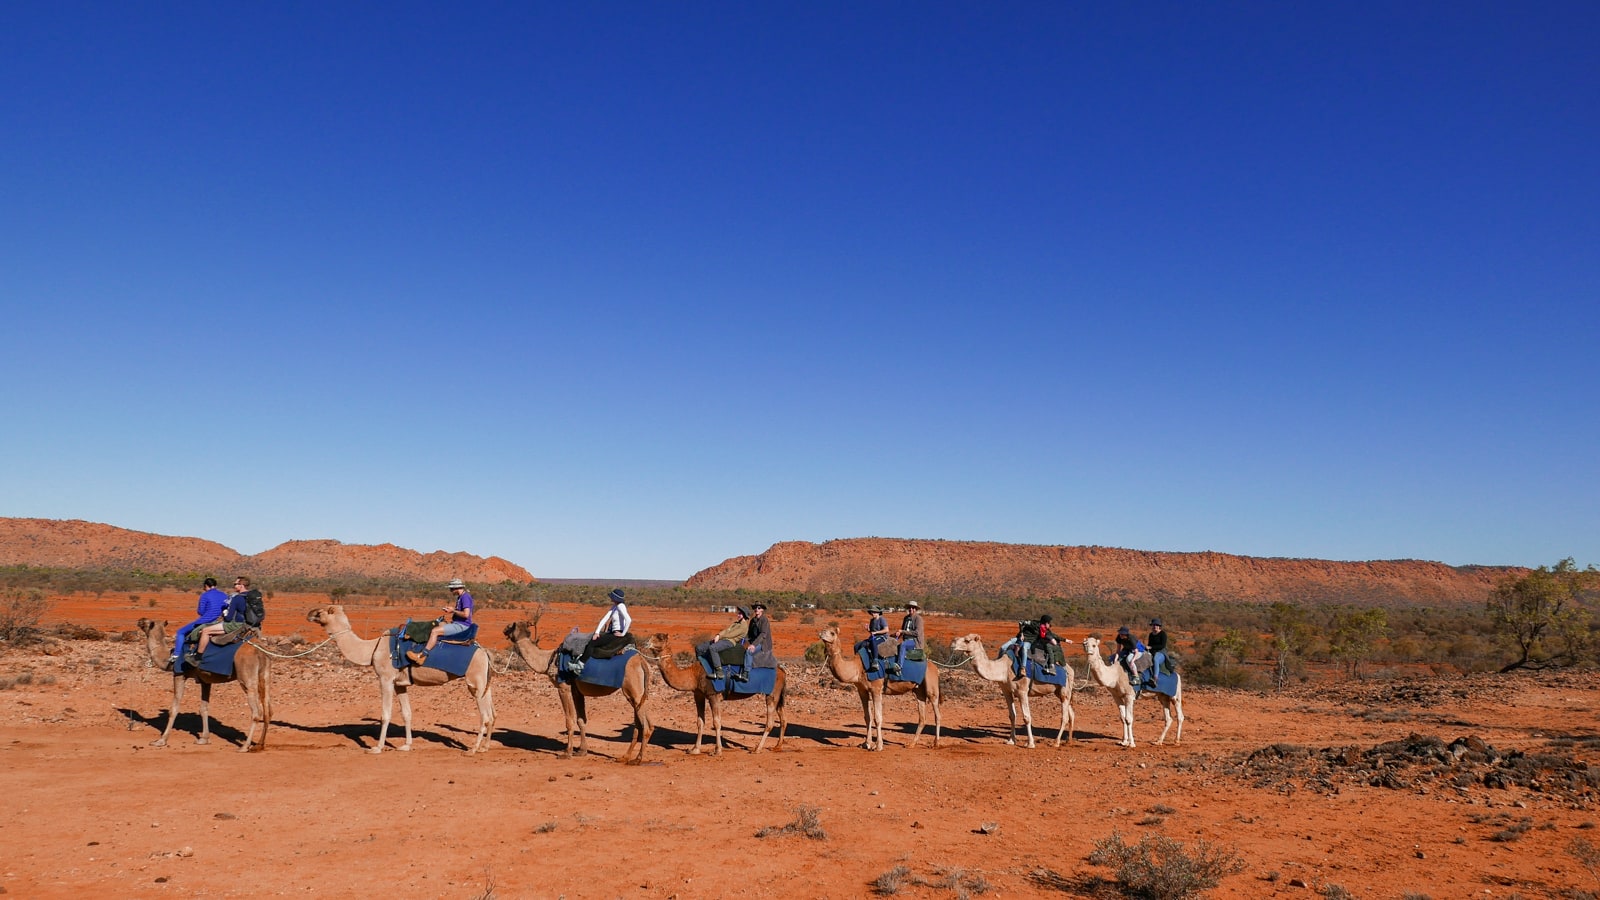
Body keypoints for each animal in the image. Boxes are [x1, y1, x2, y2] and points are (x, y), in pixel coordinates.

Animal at [136, 614, 270, 749]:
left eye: (148, 623)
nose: (140, 620)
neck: (168, 659)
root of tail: (260, 651)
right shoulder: (205, 680)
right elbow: (204, 708)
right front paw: (204, 739)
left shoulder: (179, 674)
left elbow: (174, 709)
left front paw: (161, 740)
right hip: (264, 675)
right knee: (268, 710)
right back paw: (260, 745)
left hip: (246, 675)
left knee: (256, 711)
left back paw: (245, 747)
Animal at [304, 602, 492, 749]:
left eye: (320, 612)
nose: (309, 613)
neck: (372, 649)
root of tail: (485, 652)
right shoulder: (400, 684)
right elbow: (406, 713)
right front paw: (406, 745)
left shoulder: (385, 679)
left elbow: (385, 714)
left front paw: (377, 747)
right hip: (483, 681)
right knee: (489, 713)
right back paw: (484, 747)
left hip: (475, 680)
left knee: (484, 715)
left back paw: (473, 749)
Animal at [499, 624, 649, 762]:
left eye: (511, 626)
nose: (504, 629)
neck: (548, 660)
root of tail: (642, 661)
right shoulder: (576, 690)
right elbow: (581, 720)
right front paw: (582, 751)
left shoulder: (563, 687)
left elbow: (569, 720)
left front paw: (567, 752)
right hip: (635, 694)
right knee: (641, 722)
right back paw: (625, 757)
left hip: (633, 689)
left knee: (646, 726)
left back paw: (638, 759)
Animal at [640, 627, 784, 752]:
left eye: (660, 637)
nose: (646, 643)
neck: (693, 674)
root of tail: (782, 671)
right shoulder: (698, 694)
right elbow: (700, 722)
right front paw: (695, 749)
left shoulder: (713, 694)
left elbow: (716, 722)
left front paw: (717, 750)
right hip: (777, 694)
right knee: (782, 717)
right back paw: (777, 747)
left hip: (771, 693)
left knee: (770, 722)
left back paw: (757, 749)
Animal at [947, 634, 1075, 746]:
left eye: (967, 640)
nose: (953, 642)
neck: (1004, 669)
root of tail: (1070, 669)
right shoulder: (1006, 691)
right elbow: (1012, 715)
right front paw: (1011, 740)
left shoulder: (1022, 691)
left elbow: (1027, 717)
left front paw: (1030, 743)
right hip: (1059, 691)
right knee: (1071, 713)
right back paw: (1068, 741)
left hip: (1064, 689)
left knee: (1064, 717)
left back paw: (1056, 742)